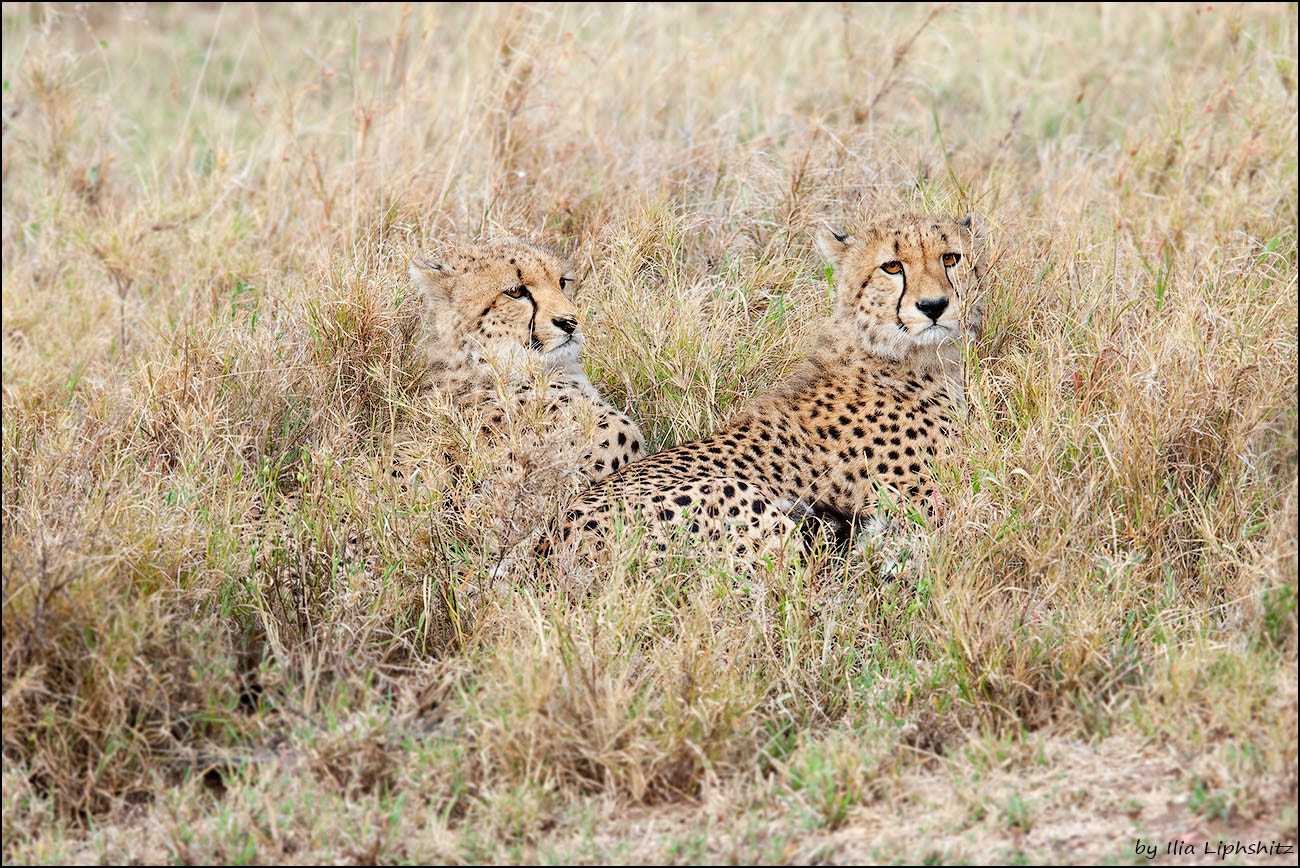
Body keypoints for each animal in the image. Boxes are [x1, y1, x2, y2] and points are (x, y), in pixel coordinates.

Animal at [553, 213, 987, 558]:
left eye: (951, 258)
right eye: (892, 266)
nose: (934, 306)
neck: (895, 355)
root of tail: (556, 539)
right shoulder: (922, 508)